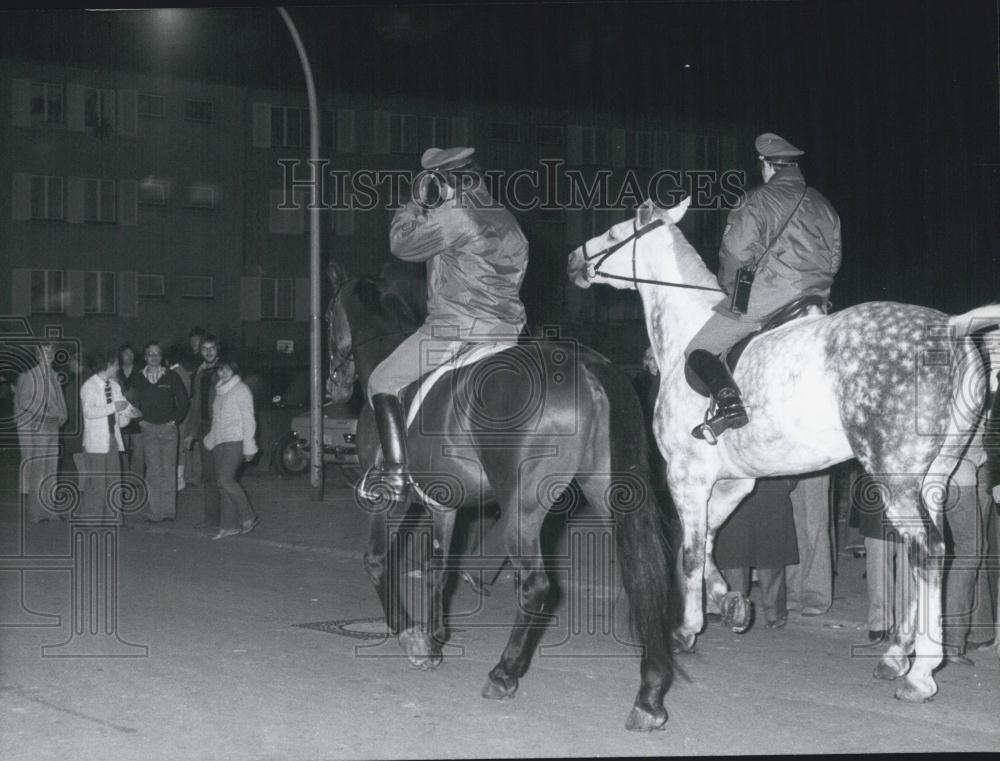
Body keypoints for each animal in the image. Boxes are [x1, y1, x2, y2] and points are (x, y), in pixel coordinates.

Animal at [330, 262, 680, 732]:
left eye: (329, 313)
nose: (333, 387)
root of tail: (587, 367)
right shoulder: (444, 506)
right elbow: (439, 569)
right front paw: (434, 639)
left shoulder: (393, 501)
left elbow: (376, 560)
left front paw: (410, 637)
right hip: (607, 494)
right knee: (641, 575)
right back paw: (650, 694)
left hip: (522, 510)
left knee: (535, 585)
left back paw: (504, 673)